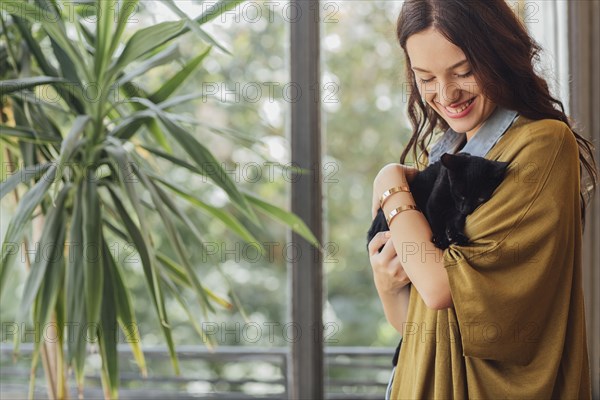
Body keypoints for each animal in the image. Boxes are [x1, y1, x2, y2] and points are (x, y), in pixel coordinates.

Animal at [364, 152, 508, 252]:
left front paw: (456, 236)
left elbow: (455, 220)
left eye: (480, 199)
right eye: (461, 195)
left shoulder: (457, 212)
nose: (467, 209)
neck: (452, 203)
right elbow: (436, 222)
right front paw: (441, 240)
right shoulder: (434, 204)